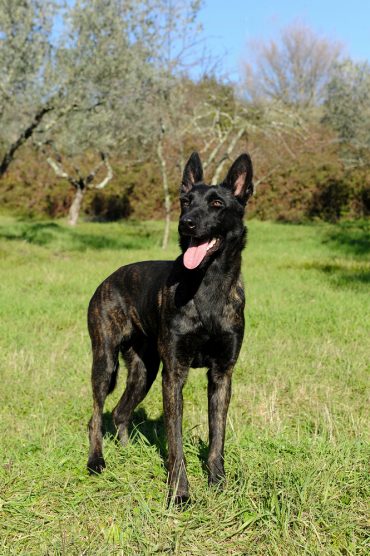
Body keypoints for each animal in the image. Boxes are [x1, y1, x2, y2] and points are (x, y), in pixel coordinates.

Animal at [87, 152, 254, 504]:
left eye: (217, 203)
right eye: (185, 201)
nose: (186, 223)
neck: (208, 284)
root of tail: (108, 278)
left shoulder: (222, 375)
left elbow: (217, 437)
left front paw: (218, 482)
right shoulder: (174, 374)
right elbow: (175, 443)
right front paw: (180, 493)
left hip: (144, 371)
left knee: (120, 412)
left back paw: (126, 452)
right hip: (105, 363)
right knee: (95, 415)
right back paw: (96, 460)